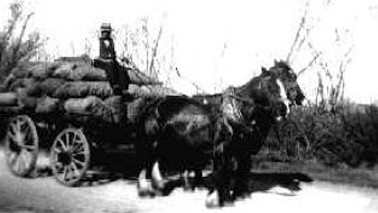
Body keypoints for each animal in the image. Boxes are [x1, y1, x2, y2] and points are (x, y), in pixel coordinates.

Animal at [136, 61, 302, 206]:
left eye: (285, 83)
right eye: (270, 86)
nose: (285, 108)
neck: (237, 112)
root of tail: (155, 103)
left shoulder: (240, 151)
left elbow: (239, 171)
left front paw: (238, 195)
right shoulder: (224, 150)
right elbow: (225, 174)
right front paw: (225, 199)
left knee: (158, 163)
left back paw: (161, 188)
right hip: (153, 142)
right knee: (147, 164)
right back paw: (145, 191)